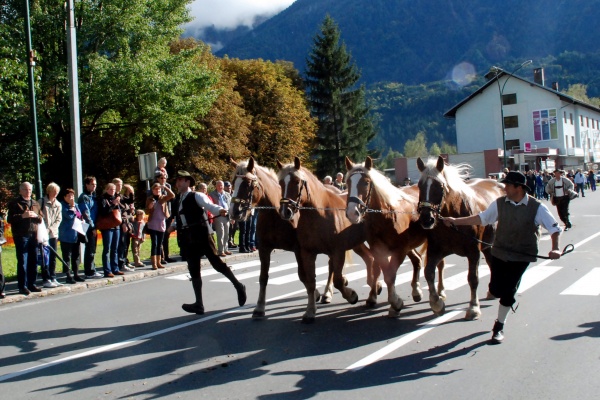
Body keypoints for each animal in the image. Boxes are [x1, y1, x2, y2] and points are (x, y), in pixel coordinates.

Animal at [230, 157, 340, 318]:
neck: (275, 214)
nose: (234, 212)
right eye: (233, 182)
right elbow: (263, 277)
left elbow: (303, 275)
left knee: (332, 265)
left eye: (248, 183)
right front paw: (259, 307)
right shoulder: (264, 249)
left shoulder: (298, 249)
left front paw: (315, 295)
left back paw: (327, 293)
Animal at [276, 156, 384, 322]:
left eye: (296, 181)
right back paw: (374, 287)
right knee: (369, 259)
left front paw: (351, 295)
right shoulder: (307, 253)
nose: (285, 211)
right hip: (357, 244)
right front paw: (310, 311)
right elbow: (310, 282)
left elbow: (338, 280)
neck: (319, 213)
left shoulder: (337, 251)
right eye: (281, 182)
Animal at [342, 158, 446, 318]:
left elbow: (390, 275)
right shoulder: (378, 249)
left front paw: (395, 302)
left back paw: (440, 291)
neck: (386, 215)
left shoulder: (399, 250)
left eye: (366, 182)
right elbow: (380, 271)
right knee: (417, 260)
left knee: (438, 264)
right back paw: (416, 291)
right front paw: (374, 296)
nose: (352, 213)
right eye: (348, 182)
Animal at [418, 155, 506, 320]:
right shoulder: (436, 250)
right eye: (419, 186)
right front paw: (436, 303)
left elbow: (473, 278)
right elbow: (428, 273)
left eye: (439, 186)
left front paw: (473, 307)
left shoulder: (473, 251)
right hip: (487, 245)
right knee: (491, 262)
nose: (427, 219)